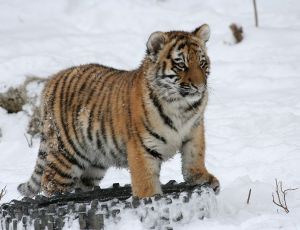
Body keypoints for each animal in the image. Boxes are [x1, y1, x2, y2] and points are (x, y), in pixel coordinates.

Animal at [18, 24, 220, 199]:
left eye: (202, 64)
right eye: (181, 65)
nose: (200, 87)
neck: (181, 106)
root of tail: (51, 80)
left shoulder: (194, 131)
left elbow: (195, 157)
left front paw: (202, 178)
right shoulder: (142, 146)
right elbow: (145, 179)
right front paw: (149, 199)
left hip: (95, 162)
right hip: (66, 154)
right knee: (49, 182)